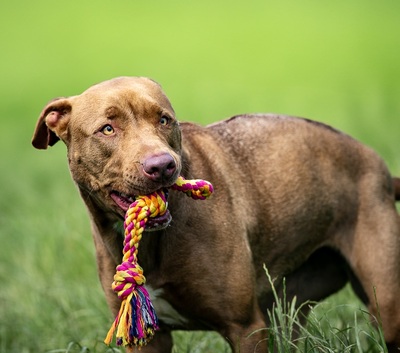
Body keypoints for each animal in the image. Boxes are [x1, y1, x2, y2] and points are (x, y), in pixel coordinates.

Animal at [32, 75, 400, 350]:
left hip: (386, 305)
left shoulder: (246, 327)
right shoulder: (148, 340)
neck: (154, 243)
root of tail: (379, 166)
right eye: (107, 128)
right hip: (287, 310)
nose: (162, 166)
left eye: (164, 120)